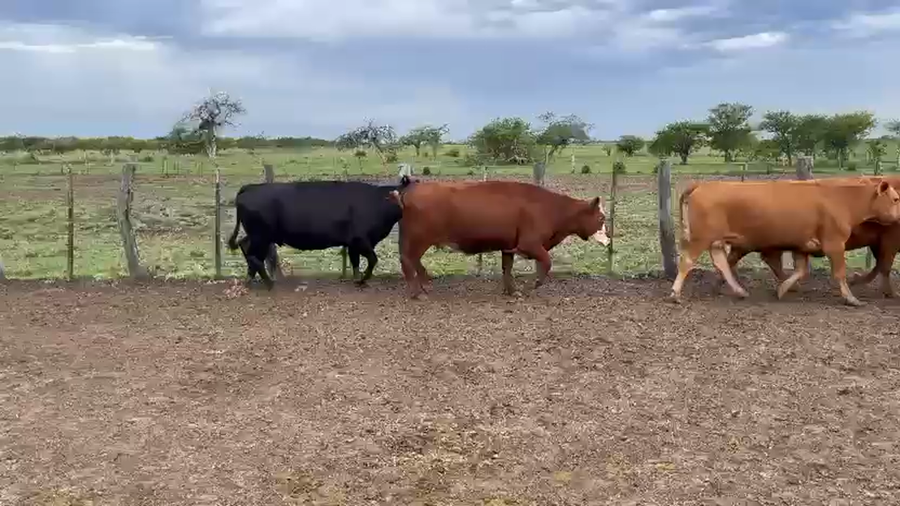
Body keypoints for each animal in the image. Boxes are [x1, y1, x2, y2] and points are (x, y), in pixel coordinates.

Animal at [226, 176, 413, 289]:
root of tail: (249, 187)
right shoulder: (361, 239)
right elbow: (373, 259)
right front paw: (362, 280)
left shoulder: (353, 242)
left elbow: (355, 262)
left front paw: (357, 279)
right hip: (261, 235)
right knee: (254, 256)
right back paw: (269, 284)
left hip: (257, 235)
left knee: (246, 247)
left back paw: (251, 280)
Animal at [390, 180, 610, 299]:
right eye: (601, 218)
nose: (608, 240)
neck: (550, 208)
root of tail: (410, 190)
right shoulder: (529, 244)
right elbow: (547, 263)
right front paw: (531, 285)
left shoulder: (509, 245)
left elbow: (507, 268)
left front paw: (512, 291)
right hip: (419, 239)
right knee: (408, 260)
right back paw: (418, 291)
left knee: (413, 261)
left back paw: (425, 284)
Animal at [669, 178, 900, 306]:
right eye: (896, 199)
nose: (899, 217)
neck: (840, 199)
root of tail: (702, 184)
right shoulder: (834, 244)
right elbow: (839, 273)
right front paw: (851, 299)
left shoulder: (802, 246)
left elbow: (800, 270)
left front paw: (782, 290)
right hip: (700, 238)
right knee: (687, 262)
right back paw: (675, 294)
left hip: (717, 240)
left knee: (722, 263)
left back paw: (740, 291)